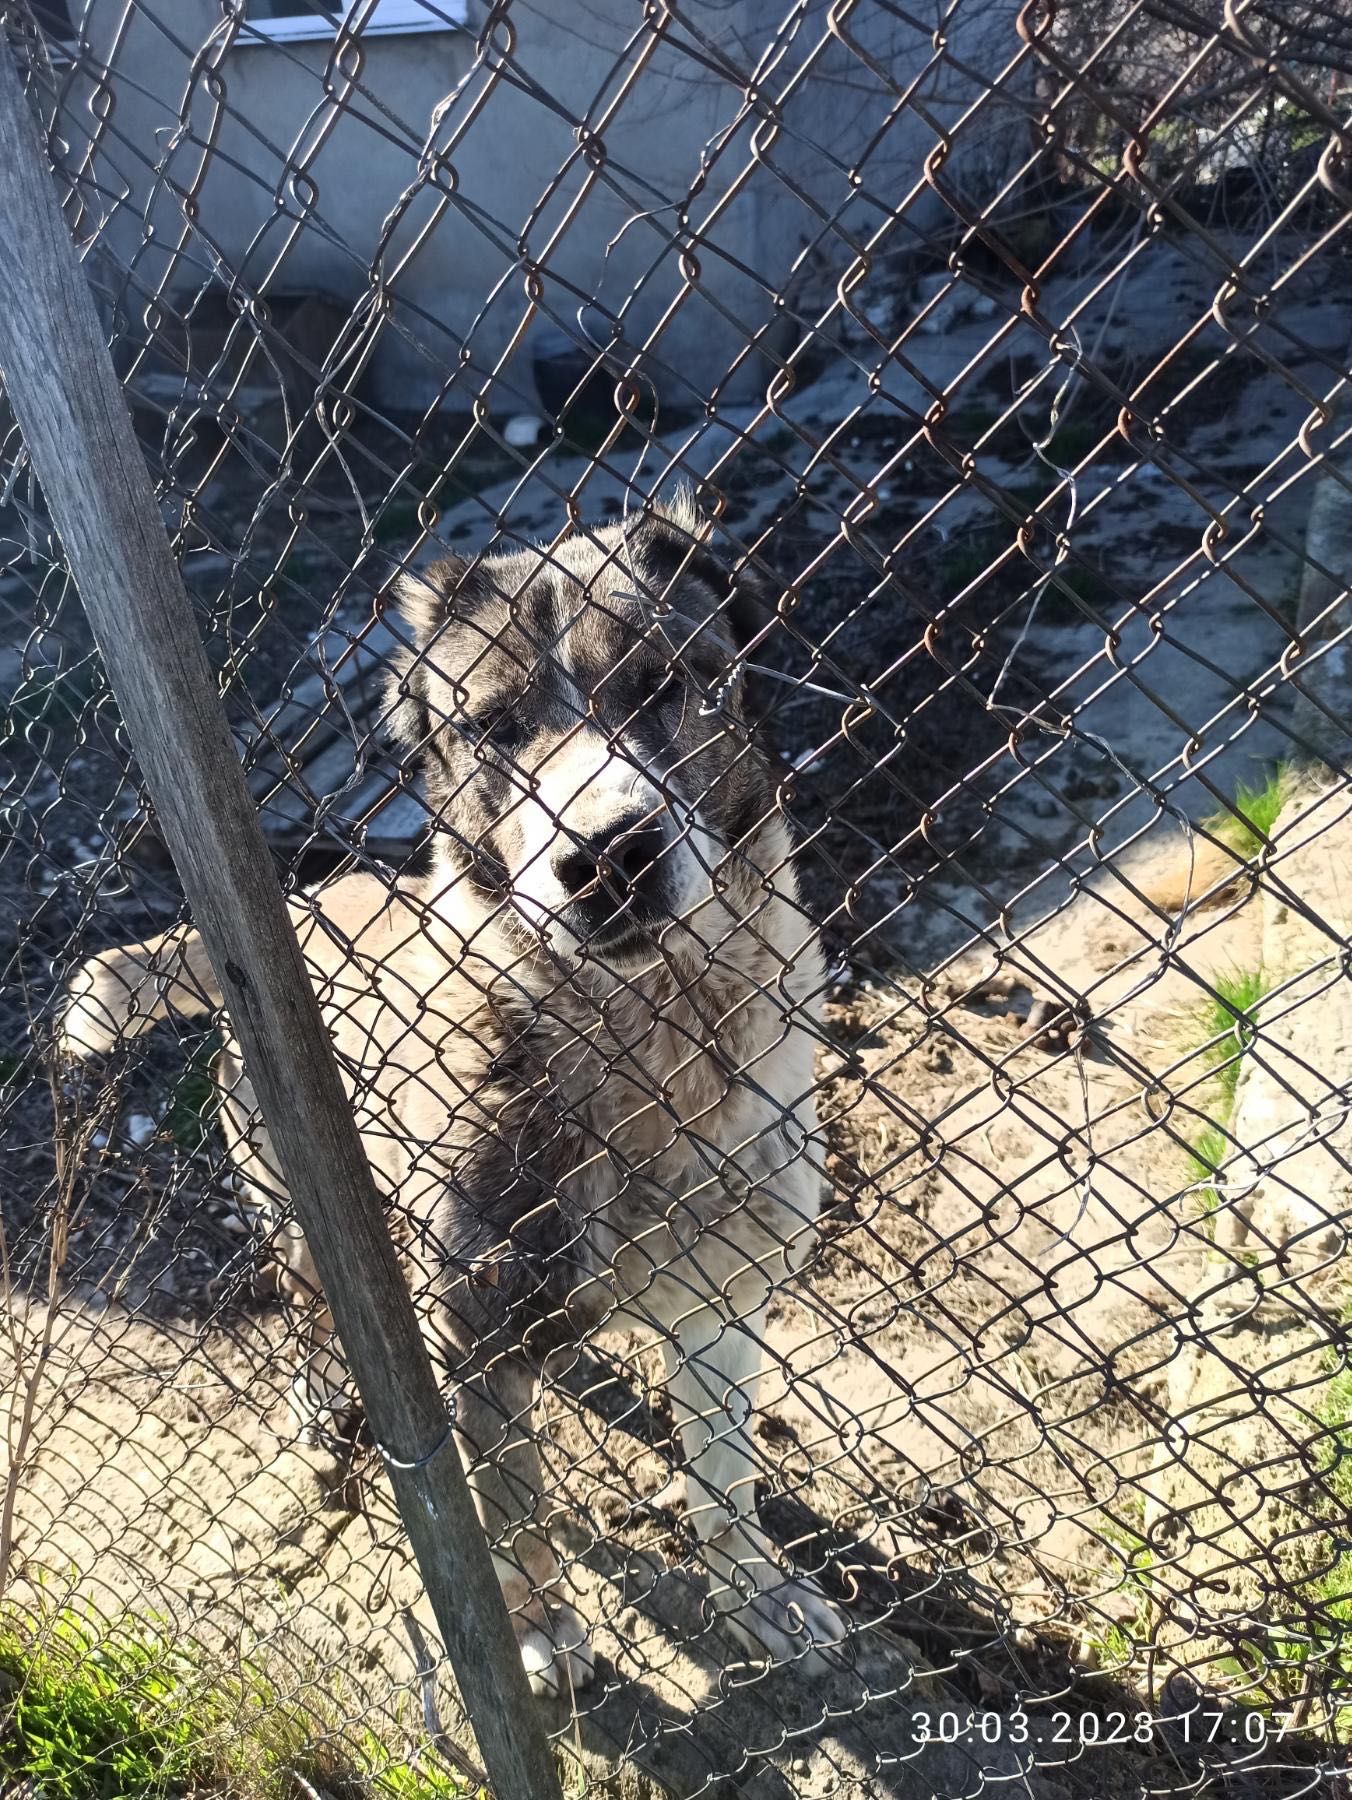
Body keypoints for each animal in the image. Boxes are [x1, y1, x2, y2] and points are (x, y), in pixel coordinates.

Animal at [63, 493, 849, 1684]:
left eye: (666, 682)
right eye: (492, 729)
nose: (606, 857)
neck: (652, 1048)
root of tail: (303, 907)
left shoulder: (725, 1306)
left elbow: (724, 1484)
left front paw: (757, 1596)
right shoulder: (475, 1335)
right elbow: (510, 1505)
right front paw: (532, 1628)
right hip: (296, 1204)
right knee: (309, 1302)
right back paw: (324, 1401)